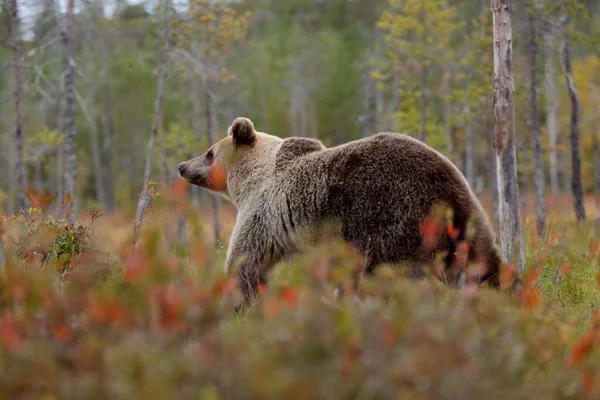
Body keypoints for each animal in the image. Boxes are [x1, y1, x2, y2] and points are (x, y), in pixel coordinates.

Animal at [177, 115, 506, 310]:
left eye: (209, 152)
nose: (182, 165)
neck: (246, 182)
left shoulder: (263, 211)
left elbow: (247, 260)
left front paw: (237, 299)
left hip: (390, 219)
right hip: (468, 211)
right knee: (483, 257)